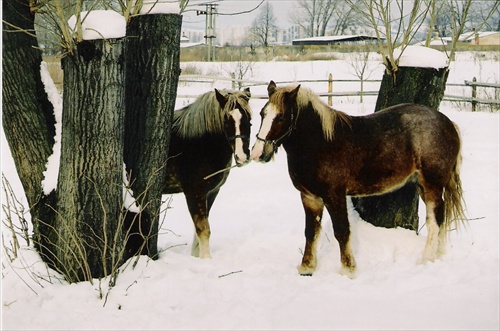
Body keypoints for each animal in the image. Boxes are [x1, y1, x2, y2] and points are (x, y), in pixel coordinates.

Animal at [164, 88, 252, 260]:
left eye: (249, 120)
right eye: (226, 122)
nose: (242, 157)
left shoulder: (211, 192)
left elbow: (198, 230)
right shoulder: (194, 193)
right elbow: (203, 229)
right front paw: (207, 260)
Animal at [252, 81, 466, 278]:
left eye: (281, 117)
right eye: (262, 114)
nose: (257, 153)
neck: (320, 143)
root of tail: (448, 123)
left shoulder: (334, 196)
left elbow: (342, 231)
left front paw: (348, 269)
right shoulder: (309, 198)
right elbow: (311, 232)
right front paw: (307, 268)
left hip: (432, 185)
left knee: (434, 220)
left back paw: (426, 259)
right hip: (423, 184)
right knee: (441, 215)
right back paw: (438, 254)